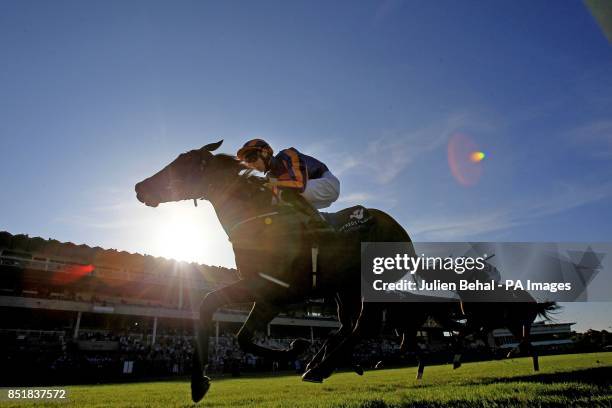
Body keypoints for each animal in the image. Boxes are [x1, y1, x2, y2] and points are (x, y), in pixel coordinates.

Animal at [135, 140, 416, 402]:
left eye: (184, 163)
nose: (139, 187)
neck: (258, 218)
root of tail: (399, 229)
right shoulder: (264, 293)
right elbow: (230, 327)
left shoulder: (272, 289)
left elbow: (220, 315)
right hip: (343, 290)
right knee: (349, 326)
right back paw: (322, 365)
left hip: (365, 282)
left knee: (365, 324)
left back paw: (321, 366)